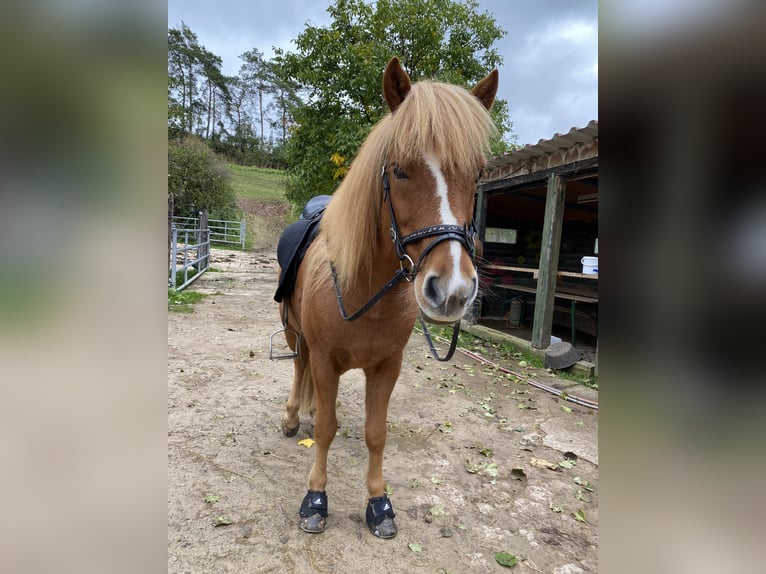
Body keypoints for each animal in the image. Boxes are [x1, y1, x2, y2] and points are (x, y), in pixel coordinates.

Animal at [275, 56, 498, 539]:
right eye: (398, 170)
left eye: (476, 174)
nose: (451, 290)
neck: (364, 291)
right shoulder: (325, 360)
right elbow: (325, 428)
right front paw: (315, 498)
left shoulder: (386, 368)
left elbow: (376, 433)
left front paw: (379, 503)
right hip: (292, 332)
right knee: (299, 370)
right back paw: (292, 416)